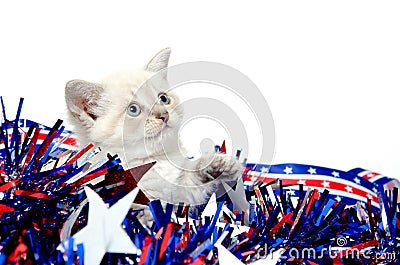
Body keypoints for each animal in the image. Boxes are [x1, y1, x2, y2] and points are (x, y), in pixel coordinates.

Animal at [65, 47, 244, 204]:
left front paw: (220, 164)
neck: (155, 161)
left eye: (163, 99)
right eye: (133, 110)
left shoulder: (179, 194)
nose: (164, 115)